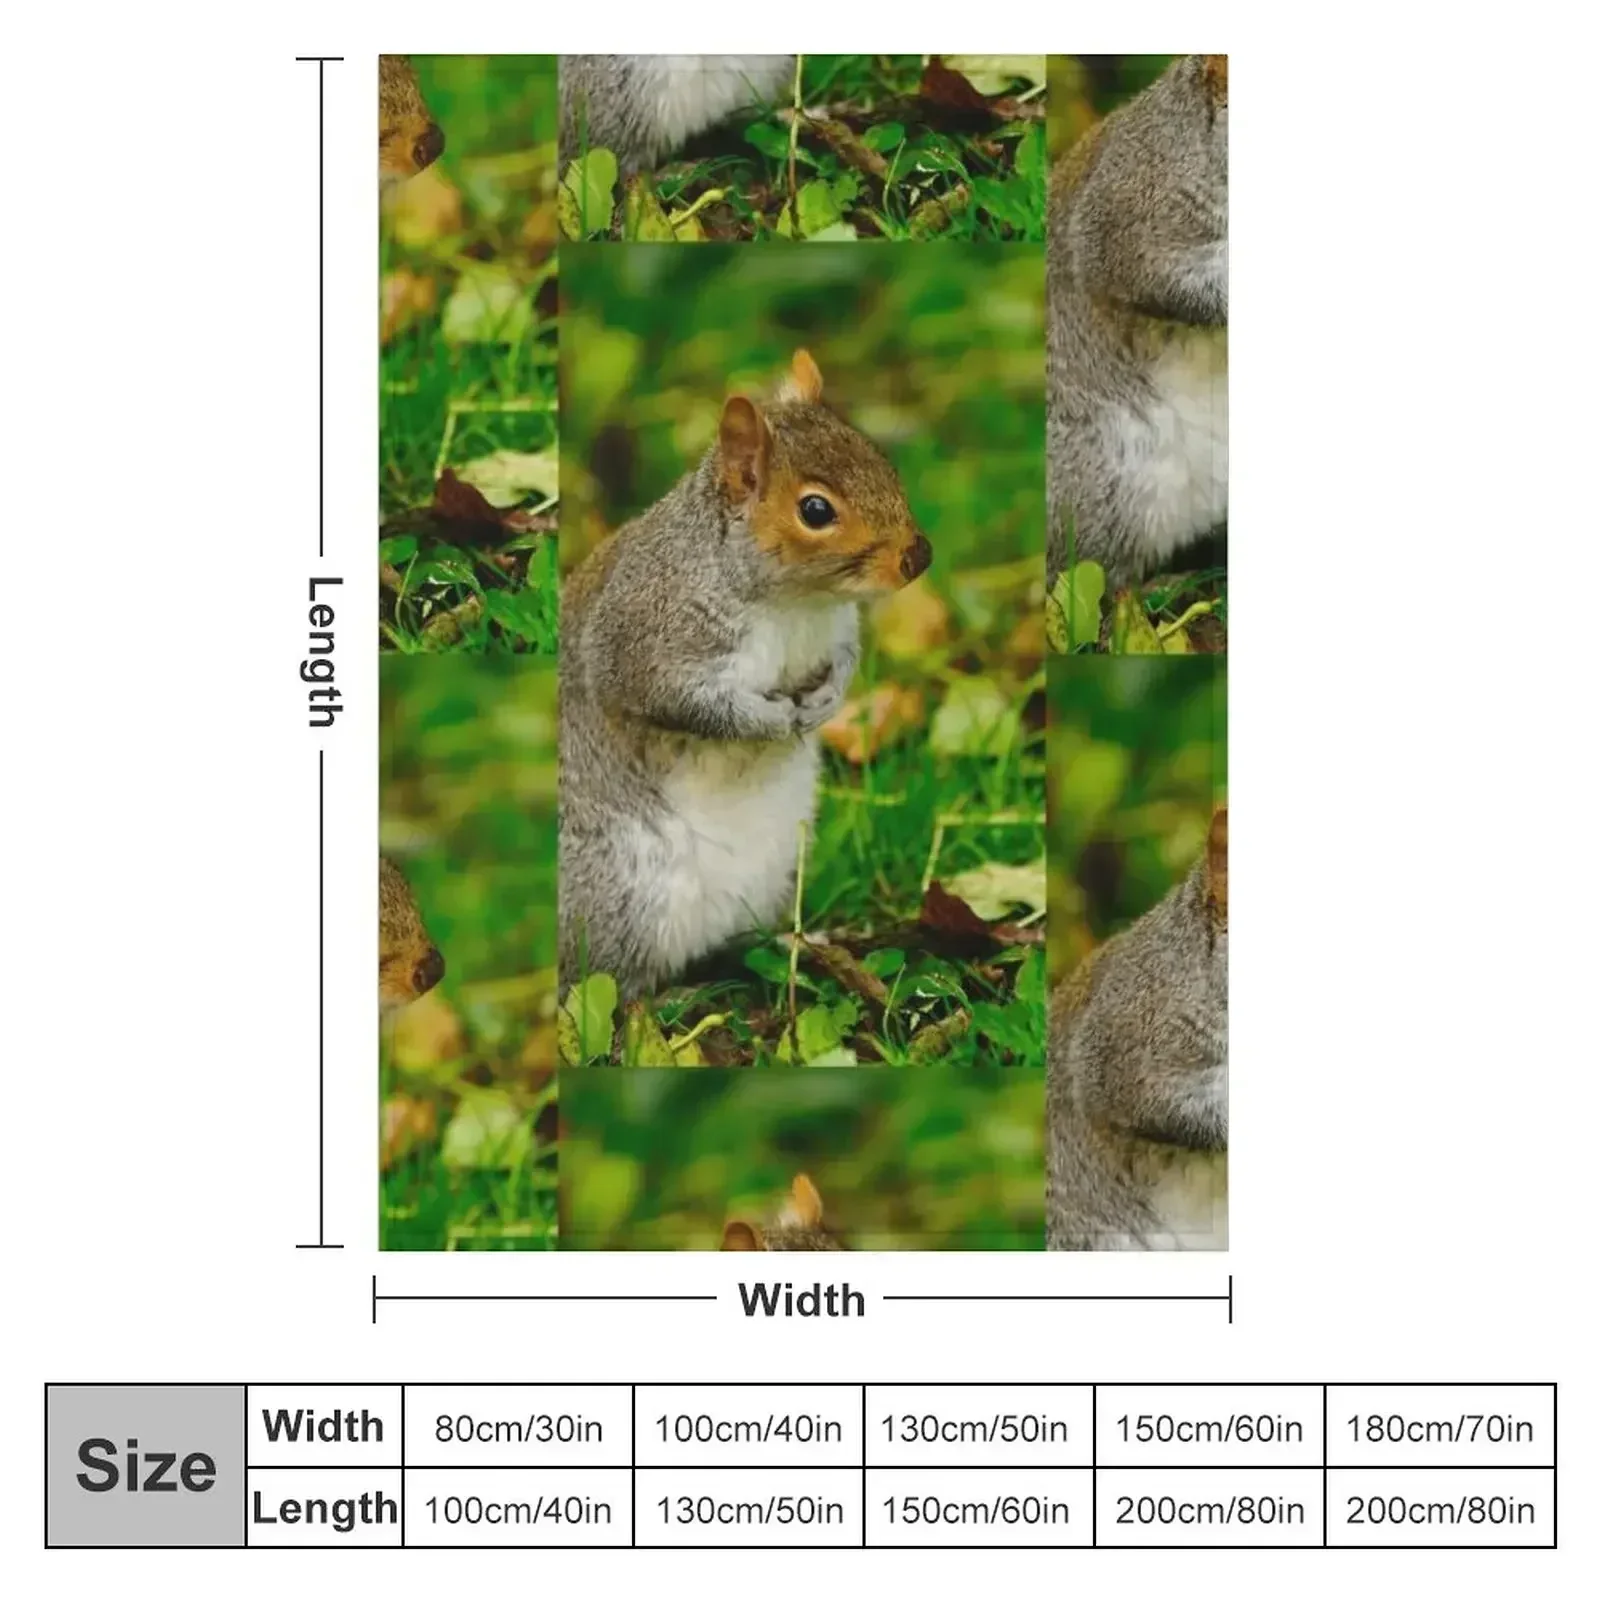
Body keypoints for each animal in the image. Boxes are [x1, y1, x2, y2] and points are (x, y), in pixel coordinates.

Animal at [559, 349, 931, 1003]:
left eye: (880, 460)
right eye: (816, 510)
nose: (920, 556)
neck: (795, 605)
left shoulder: (837, 630)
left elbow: (845, 661)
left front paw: (826, 701)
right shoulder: (644, 644)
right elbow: (681, 702)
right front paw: (771, 720)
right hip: (623, 892)